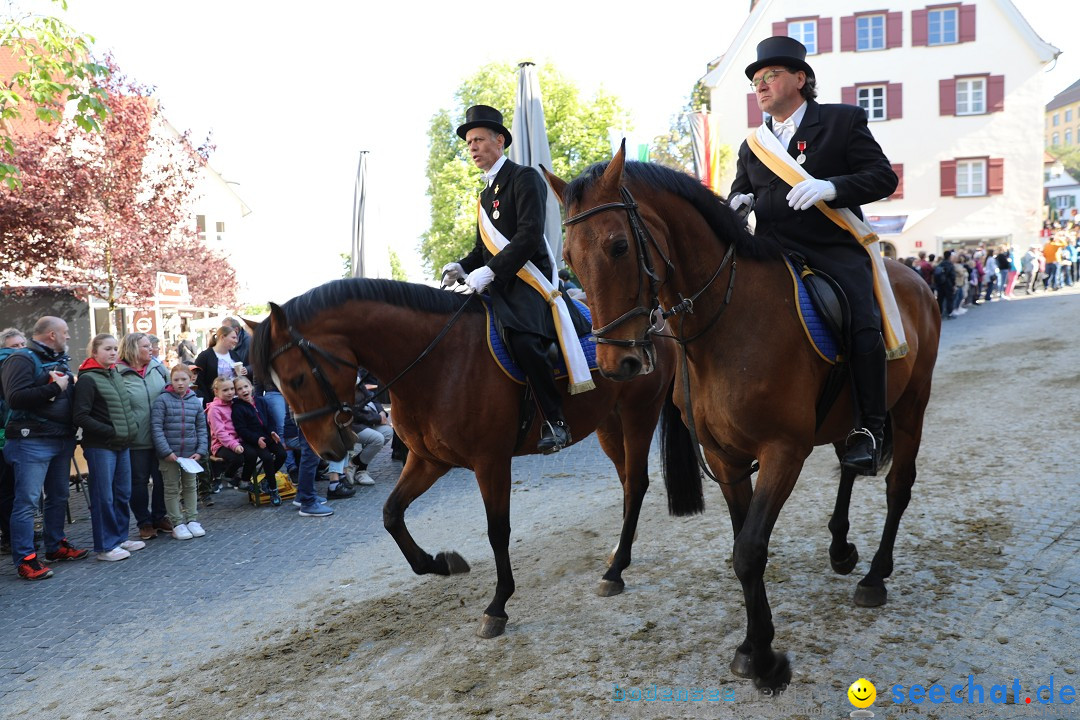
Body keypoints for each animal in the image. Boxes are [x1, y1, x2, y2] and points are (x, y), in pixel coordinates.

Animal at [248, 278, 678, 639]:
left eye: (296, 378)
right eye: (273, 385)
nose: (326, 450)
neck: (437, 362)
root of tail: (655, 318)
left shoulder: (491, 462)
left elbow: (497, 531)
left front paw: (498, 606)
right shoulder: (427, 460)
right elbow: (391, 514)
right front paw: (442, 563)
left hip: (639, 414)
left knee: (637, 484)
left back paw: (616, 570)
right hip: (609, 424)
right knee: (627, 483)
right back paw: (619, 552)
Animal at [544, 147, 941, 690]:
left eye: (619, 245)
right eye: (567, 259)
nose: (614, 364)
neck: (723, 326)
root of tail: (913, 276)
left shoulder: (783, 451)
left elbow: (750, 549)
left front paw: (767, 660)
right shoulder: (725, 457)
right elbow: (742, 547)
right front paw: (756, 645)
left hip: (911, 405)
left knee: (898, 486)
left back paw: (875, 576)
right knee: (850, 463)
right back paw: (841, 547)